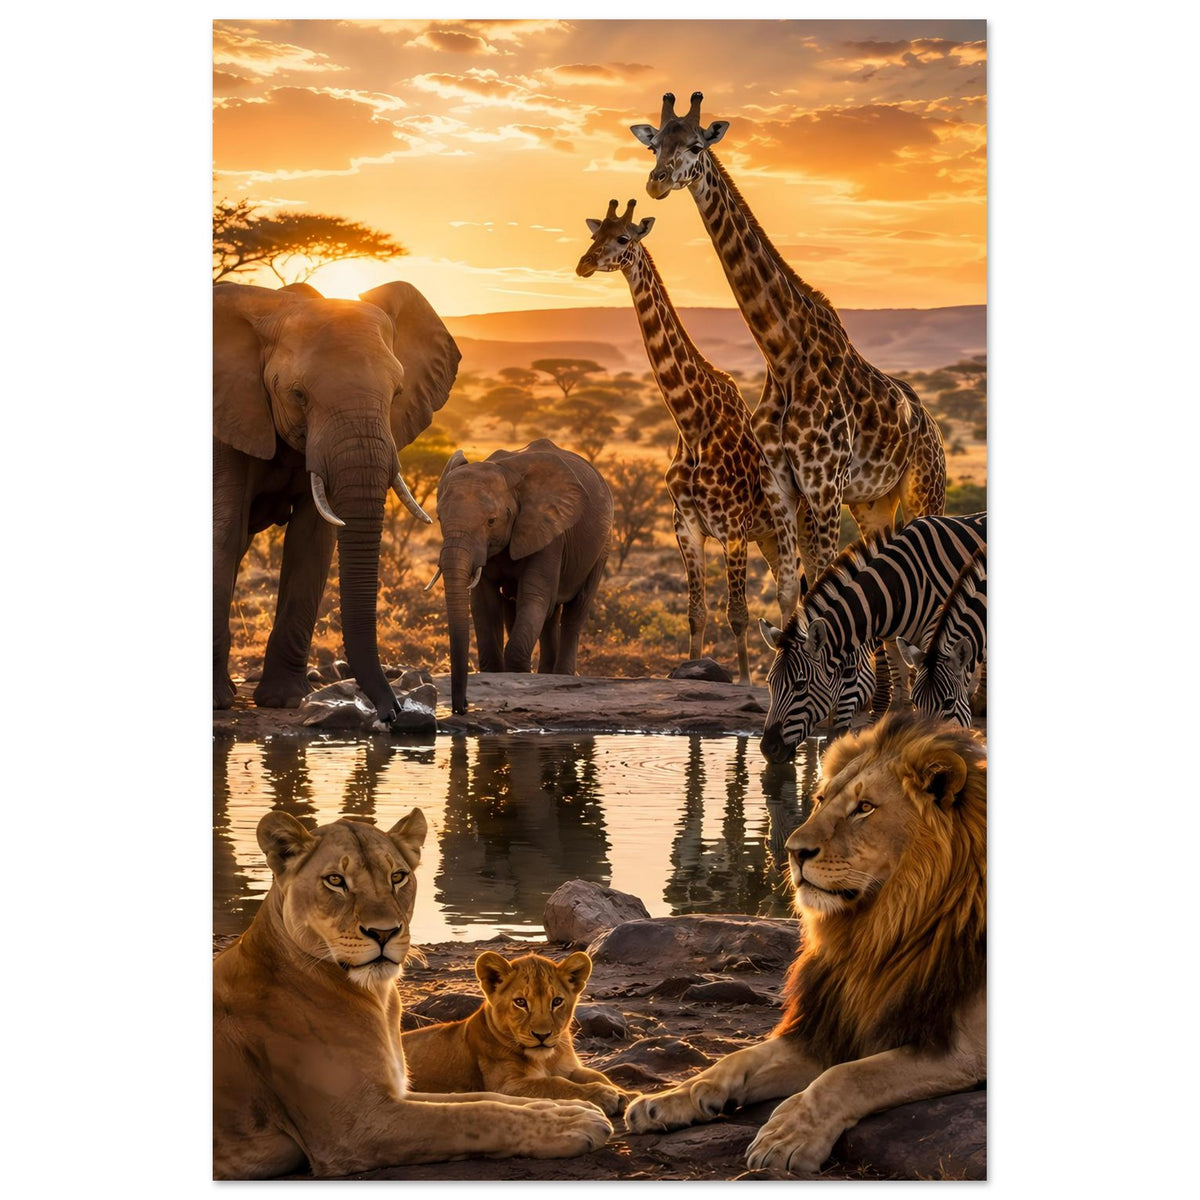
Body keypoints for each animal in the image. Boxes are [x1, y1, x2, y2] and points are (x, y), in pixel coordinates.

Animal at [403, 949, 634, 1116]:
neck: (546, 1060)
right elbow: (554, 1084)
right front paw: (603, 1094)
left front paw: (626, 1094)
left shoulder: (569, 1068)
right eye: (521, 1002)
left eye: (556, 1001)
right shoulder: (505, 1087)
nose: (542, 1035)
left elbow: (596, 1075)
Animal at [626, 713, 986, 1175]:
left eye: (864, 808)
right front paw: (670, 1099)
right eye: (820, 799)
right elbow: (737, 1058)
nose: (793, 852)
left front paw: (788, 1136)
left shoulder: (964, 1050)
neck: (881, 931)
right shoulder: (833, 1025)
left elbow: (849, 1076)